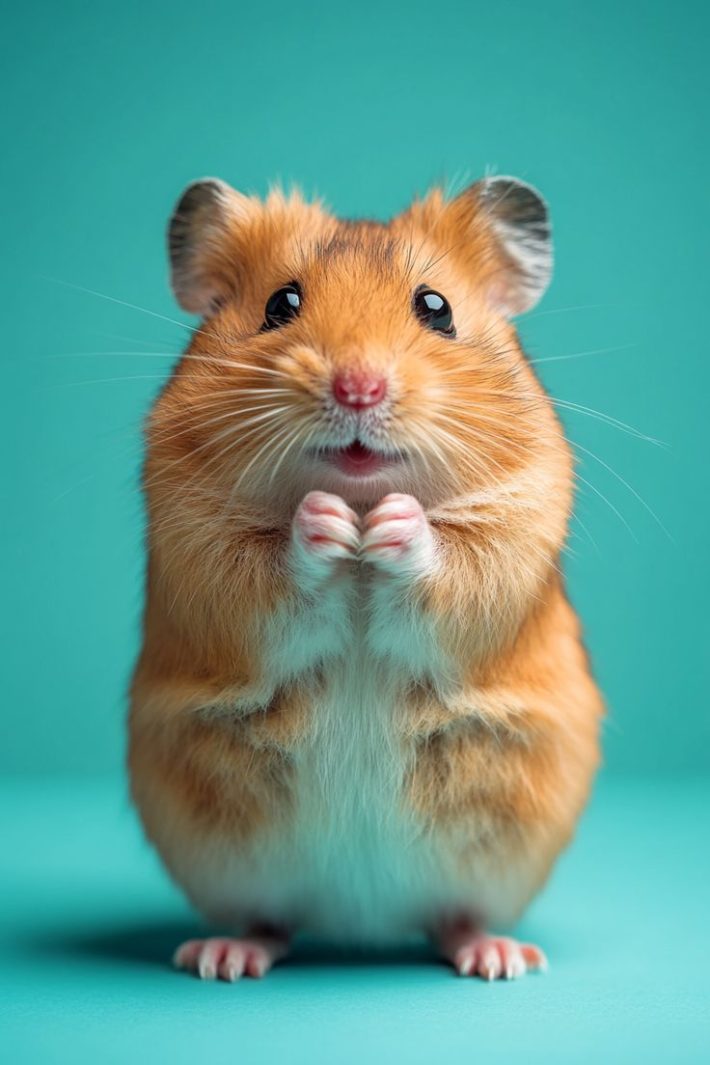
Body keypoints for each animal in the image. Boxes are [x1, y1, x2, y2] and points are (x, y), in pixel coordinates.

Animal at [128, 175, 603, 982]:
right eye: (280, 303)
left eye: (436, 308)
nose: (358, 388)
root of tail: (360, 921)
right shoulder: (195, 537)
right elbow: (267, 568)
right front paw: (326, 524)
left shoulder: (515, 527)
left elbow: (455, 559)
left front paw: (389, 526)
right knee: (270, 921)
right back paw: (222, 957)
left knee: (454, 918)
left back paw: (500, 957)